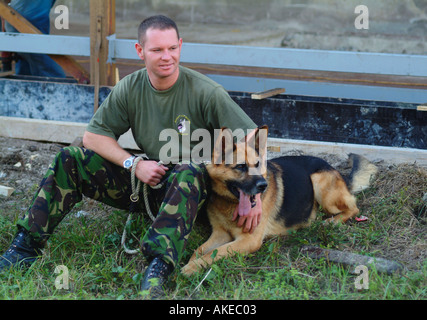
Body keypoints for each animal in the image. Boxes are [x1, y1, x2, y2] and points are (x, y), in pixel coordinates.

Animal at [181, 126, 378, 276]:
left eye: (258, 165)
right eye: (241, 166)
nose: (263, 185)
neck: (230, 203)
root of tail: (335, 170)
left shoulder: (248, 241)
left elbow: (216, 253)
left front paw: (191, 268)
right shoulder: (219, 234)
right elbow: (200, 250)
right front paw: (190, 264)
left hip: (319, 184)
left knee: (353, 208)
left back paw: (331, 222)